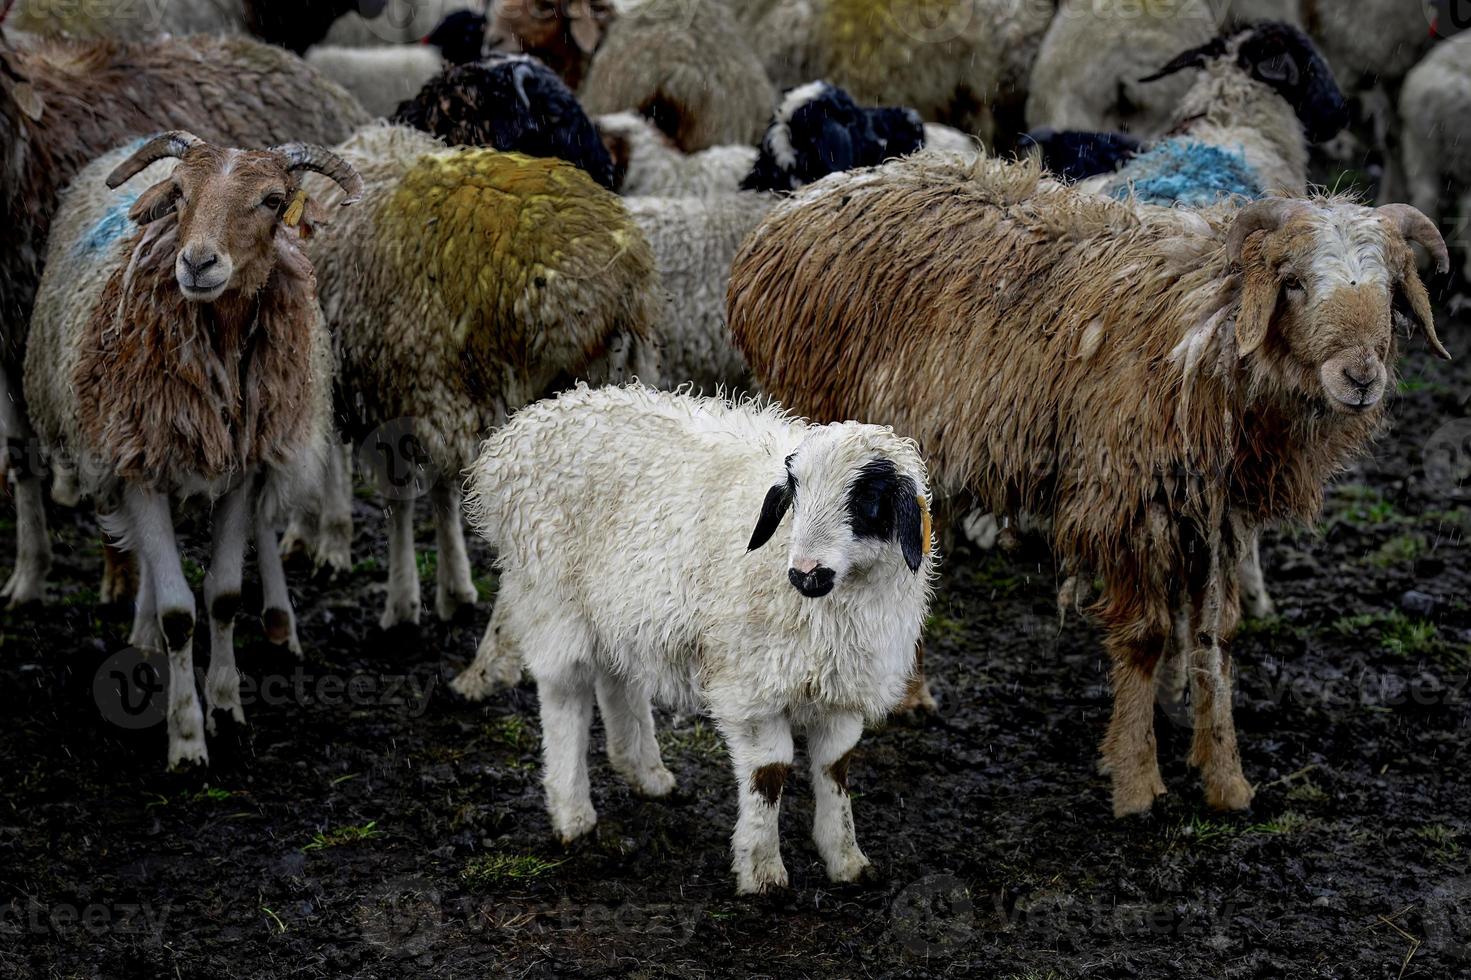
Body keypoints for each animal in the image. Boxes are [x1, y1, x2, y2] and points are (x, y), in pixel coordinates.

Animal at [23, 131, 361, 765]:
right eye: (178, 192)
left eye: (274, 200)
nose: (197, 263)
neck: (218, 343)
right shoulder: (138, 466)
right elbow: (179, 612)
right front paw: (186, 738)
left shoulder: (244, 470)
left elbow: (224, 596)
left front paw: (227, 710)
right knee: (152, 567)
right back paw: (145, 639)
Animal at [453, 382, 935, 894]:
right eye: (796, 494)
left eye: (866, 499)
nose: (806, 573)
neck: (836, 603)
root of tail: (523, 427)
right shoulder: (751, 684)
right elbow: (770, 772)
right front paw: (762, 871)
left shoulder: (843, 688)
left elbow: (835, 767)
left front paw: (846, 860)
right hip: (551, 594)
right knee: (565, 693)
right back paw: (572, 813)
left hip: (617, 606)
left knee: (616, 677)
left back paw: (645, 772)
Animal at [723, 154, 1447, 818]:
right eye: (1293, 283)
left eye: (1391, 290)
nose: (1360, 378)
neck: (1203, 331)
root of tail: (794, 209)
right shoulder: (1127, 501)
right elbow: (1146, 639)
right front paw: (1135, 780)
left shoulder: (1216, 515)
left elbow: (1215, 639)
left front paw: (1225, 779)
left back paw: (907, 693)